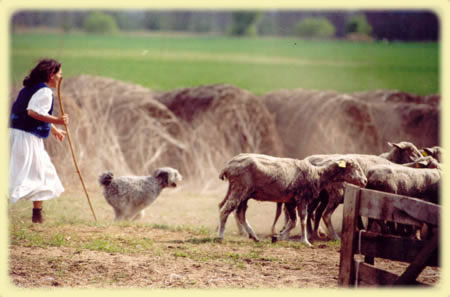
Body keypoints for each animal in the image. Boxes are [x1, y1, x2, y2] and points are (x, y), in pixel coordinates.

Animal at [216, 153, 368, 245]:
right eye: (354, 167)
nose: (365, 181)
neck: (317, 174)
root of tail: (228, 166)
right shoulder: (302, 198)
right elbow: (303, 219)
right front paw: (305, 241)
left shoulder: (290, 200)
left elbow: (293, 221)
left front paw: (279, 236)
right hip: (240, 188)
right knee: (225, 210)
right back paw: (220, 236)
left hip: (243, 193)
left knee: (239, 213)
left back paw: (254, 236)